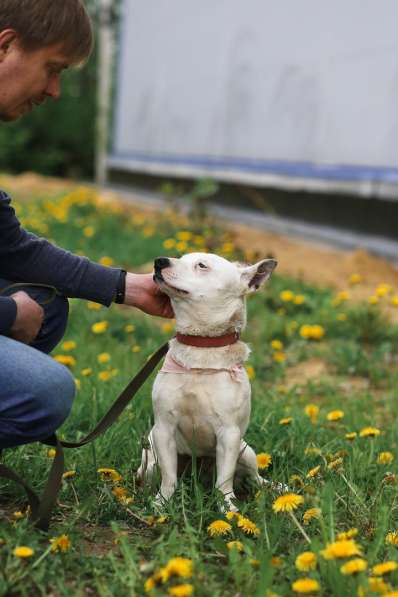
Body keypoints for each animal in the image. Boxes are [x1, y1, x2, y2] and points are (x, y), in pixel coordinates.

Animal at [138, 249, 278, 510]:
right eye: (180, 257)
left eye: (202, 266)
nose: (159, 261)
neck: (201, 347)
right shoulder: (163, 429)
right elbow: (169, 477)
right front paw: (161, 504)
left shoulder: (229, 435)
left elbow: (224, 480)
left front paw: (228, 509)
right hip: (150, 460)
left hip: (246, 452)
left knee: (256, 479)